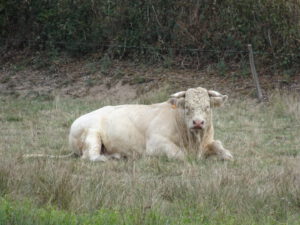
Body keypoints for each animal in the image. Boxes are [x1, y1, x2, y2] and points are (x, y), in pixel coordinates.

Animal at [69, 86, 233, 162]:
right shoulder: (155, 143)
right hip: (92, 135)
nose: (198, 122)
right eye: (187, 107)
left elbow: (220, 147)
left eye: (207, 107)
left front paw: (226, 155)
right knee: (90, 156)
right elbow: (180, 154)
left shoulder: (208, 141)